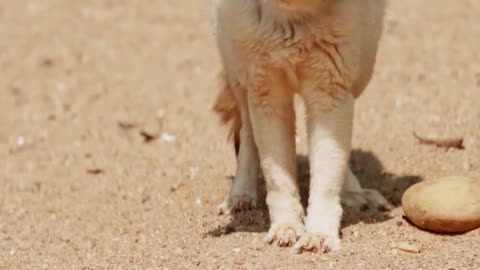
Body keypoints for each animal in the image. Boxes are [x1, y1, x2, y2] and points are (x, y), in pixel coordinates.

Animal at [212, 0, 392, 253]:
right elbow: (277, 177)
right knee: (247, 134)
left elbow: (328, 172)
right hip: (236, 68)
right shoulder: (265, 89)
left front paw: (318, 234)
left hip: (363, 64)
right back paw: (240, 195)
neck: (294, 14)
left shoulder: (331, 90)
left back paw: (353, 192)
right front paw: (286, 227)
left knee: (340, 154)